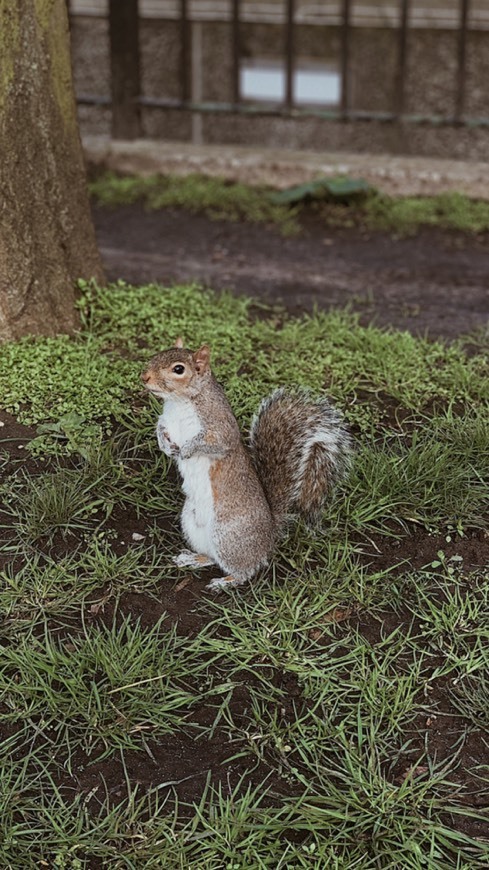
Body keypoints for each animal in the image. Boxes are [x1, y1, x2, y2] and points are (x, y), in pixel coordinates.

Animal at [141, 338, 350, 592]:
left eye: (178, 369)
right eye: (157, 354)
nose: (145, 377)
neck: (180, 403)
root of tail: (269, 535)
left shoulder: (220, 428)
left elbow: (213, 443)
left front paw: (187, 450)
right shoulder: (166, 420)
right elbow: (160, 429)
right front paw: (165, 446)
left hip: (229, 536)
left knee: (245, 570)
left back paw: (225, 581)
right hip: (192, 523)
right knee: (212, 558)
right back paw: (194, 558)